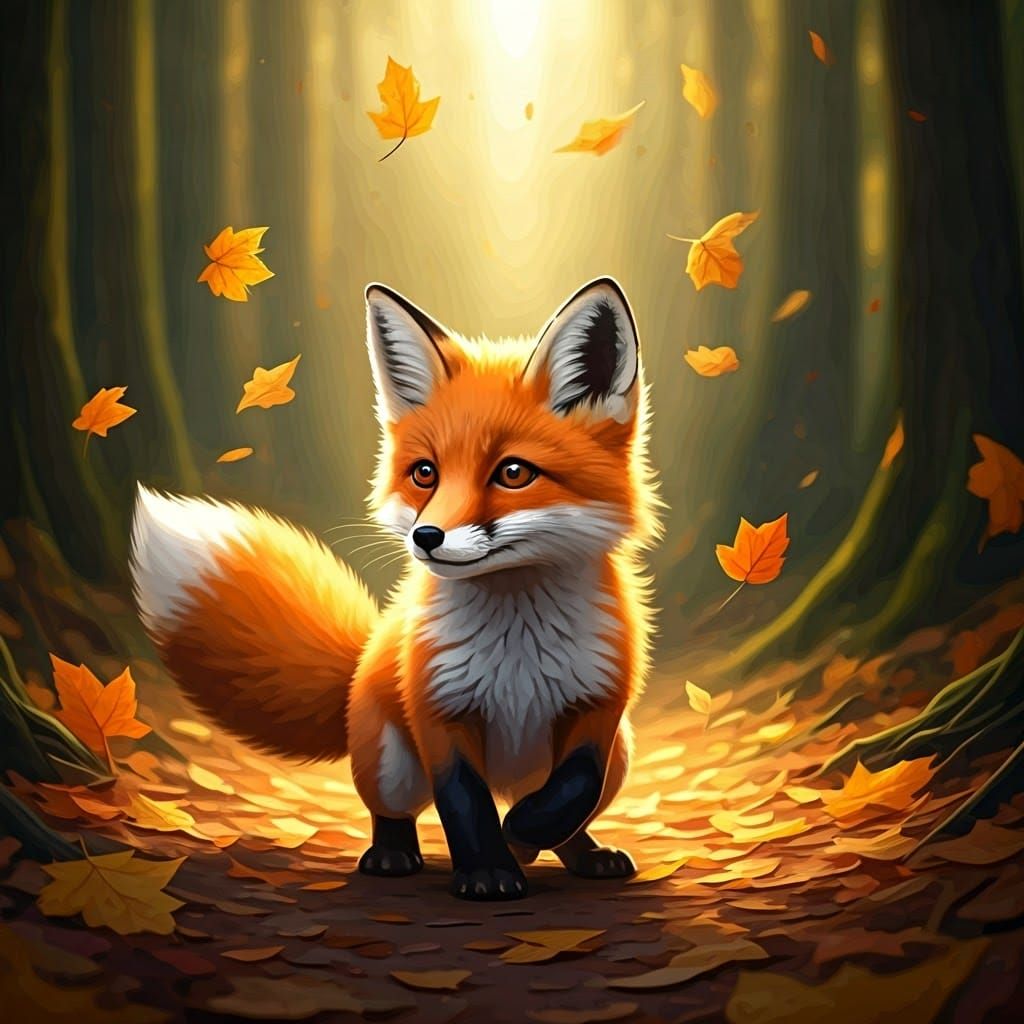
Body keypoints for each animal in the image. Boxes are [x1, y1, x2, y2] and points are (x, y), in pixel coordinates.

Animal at [130, 277, 661, 900]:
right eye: (424, 473)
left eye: (513, 473)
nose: (426, 537)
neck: (517, 649)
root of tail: (358, 670)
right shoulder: (438, 711)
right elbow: (466, 804)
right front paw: (488, 870)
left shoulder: (599, 709)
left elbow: (570, 793)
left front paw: (524, 837)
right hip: (389, 764)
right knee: (394, 811)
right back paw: (392, 854)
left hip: (622, 755)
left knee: (575, 815)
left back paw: (584, 854)